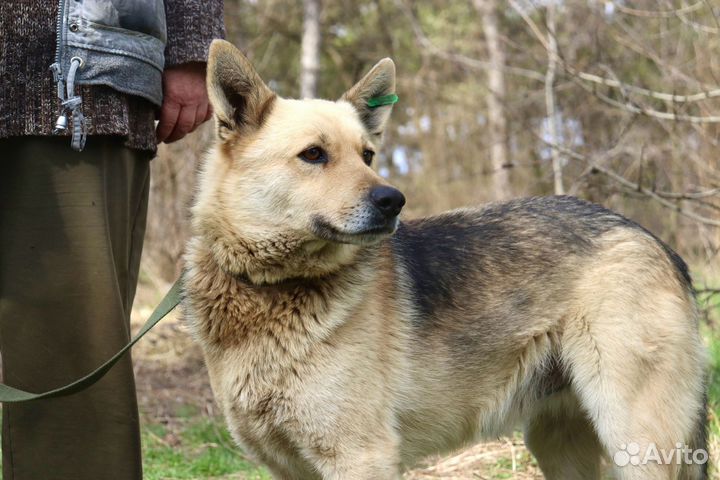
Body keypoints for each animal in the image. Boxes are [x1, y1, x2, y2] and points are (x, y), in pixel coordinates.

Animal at [181, 39, 708, 478]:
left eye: (367, 155)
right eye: (313, 155)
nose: (393, 201)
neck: (269, 287)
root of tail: (653, 240)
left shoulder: (361, 458)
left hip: (634, 440)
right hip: (559, 443)